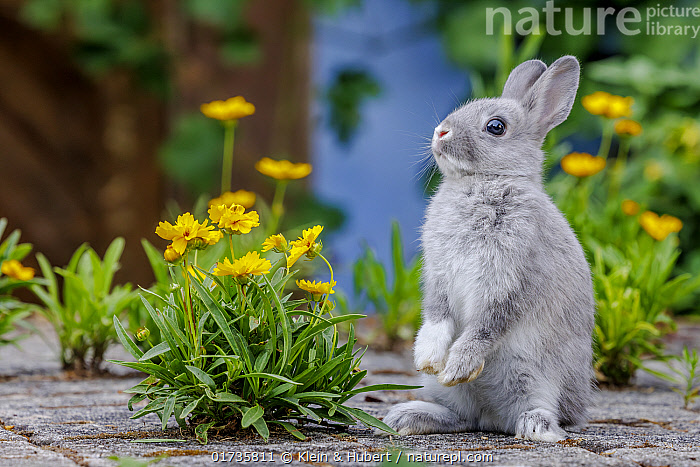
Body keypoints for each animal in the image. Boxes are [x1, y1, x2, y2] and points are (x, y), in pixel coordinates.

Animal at [382, 56, 595, 442]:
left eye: (496, 127)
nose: (440, 132)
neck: (482, 182)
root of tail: (494, 419)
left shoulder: (509, 280)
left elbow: (486, 326)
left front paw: (457, 366)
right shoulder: (438, 277)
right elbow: (437, 316)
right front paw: (429, 359)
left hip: (535, 377)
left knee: (533, 409)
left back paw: (537, 428)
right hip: (452, 395)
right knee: (464, 417)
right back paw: (408, 417)